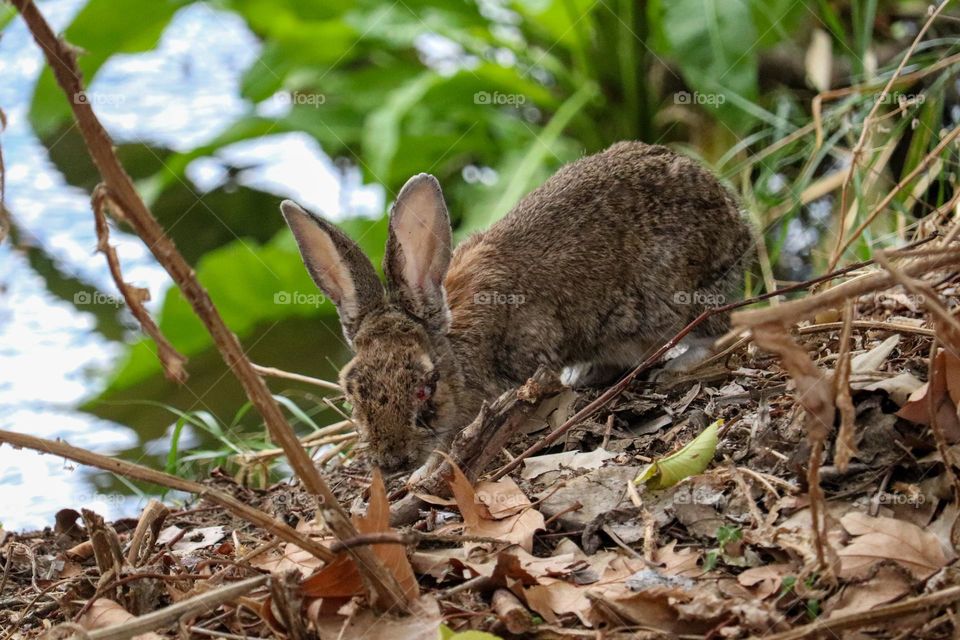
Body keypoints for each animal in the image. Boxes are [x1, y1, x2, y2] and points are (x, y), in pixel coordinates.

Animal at [282, 141, 752, 470]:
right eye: (351, 388)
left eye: (424, 386)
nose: (391, 462)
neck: (457, 351)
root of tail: (737, 222)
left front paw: (423, 472)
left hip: (675, 296)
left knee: (719, 330)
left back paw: (676, 366)